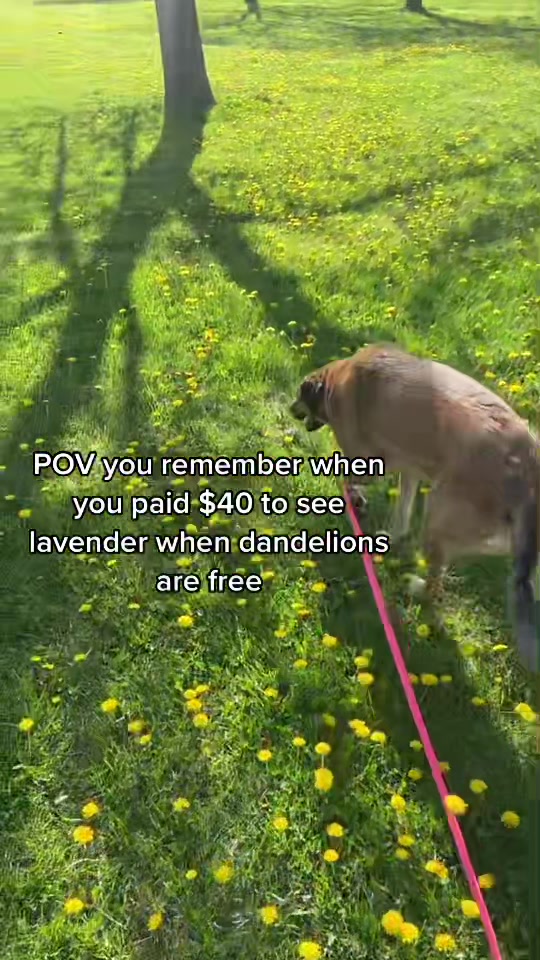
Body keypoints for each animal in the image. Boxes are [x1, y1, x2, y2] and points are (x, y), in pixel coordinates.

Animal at [290, 343, 540, 672]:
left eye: (299, 396)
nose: (291, 409)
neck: (338, 378)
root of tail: (527, 471)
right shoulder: (409, 470)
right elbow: (402, 512)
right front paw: (390, 535)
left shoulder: (369, 463)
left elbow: (347, 475)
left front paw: (353, 499)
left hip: (437, 514)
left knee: (435, 586)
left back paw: (416, 586)